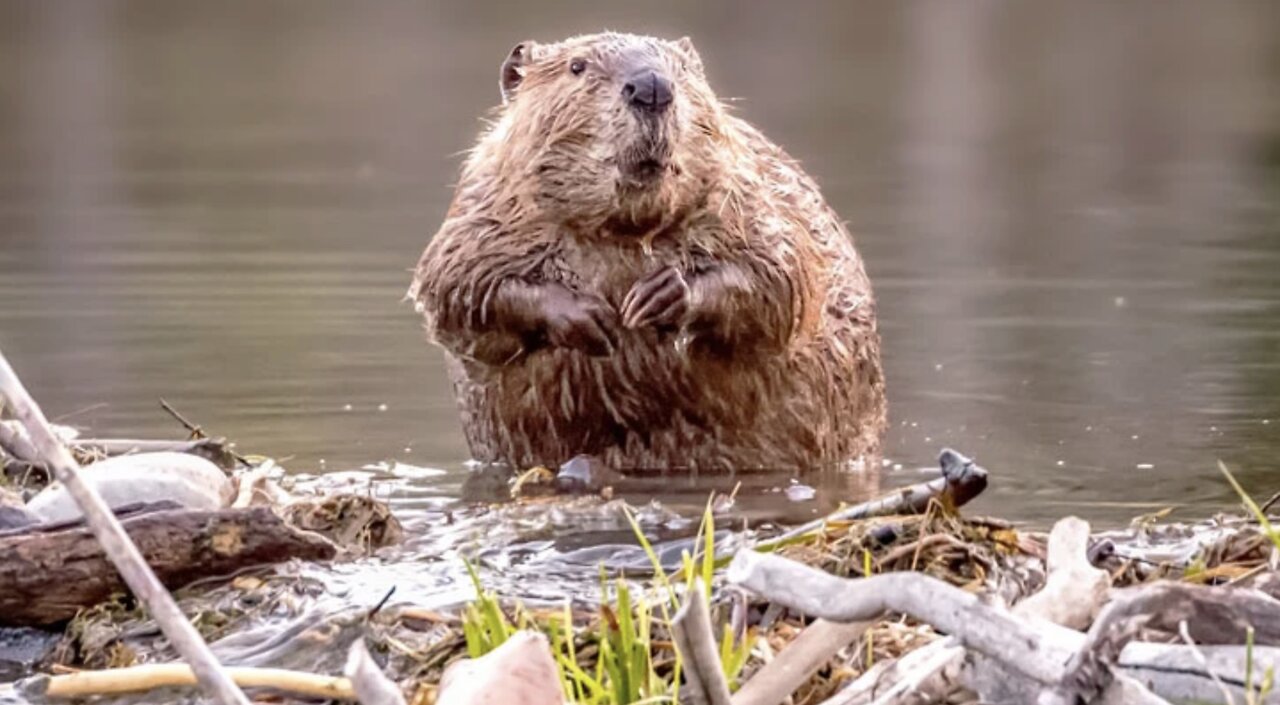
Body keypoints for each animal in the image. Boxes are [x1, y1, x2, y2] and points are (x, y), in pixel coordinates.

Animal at [407, 33, 880, 473]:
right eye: (577, 66)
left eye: (681, 69)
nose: (652, 86)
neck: (623, 231)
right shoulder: (483, 209)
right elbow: (455, 289)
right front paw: (589, 316)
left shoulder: (751, 195)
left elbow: (782, 277)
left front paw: (658, 297)